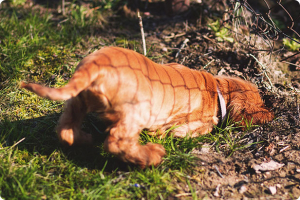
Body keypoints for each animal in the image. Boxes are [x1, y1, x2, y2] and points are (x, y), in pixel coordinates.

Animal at [21, 46, 274, 167]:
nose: (271, 113)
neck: (217, 89)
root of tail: (95, 66)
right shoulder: (193, 123)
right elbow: (199, 127)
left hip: (76, 101)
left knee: (65, 129)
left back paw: (86, 139)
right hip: (136, 111)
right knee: (117, 141)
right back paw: (151, 156)